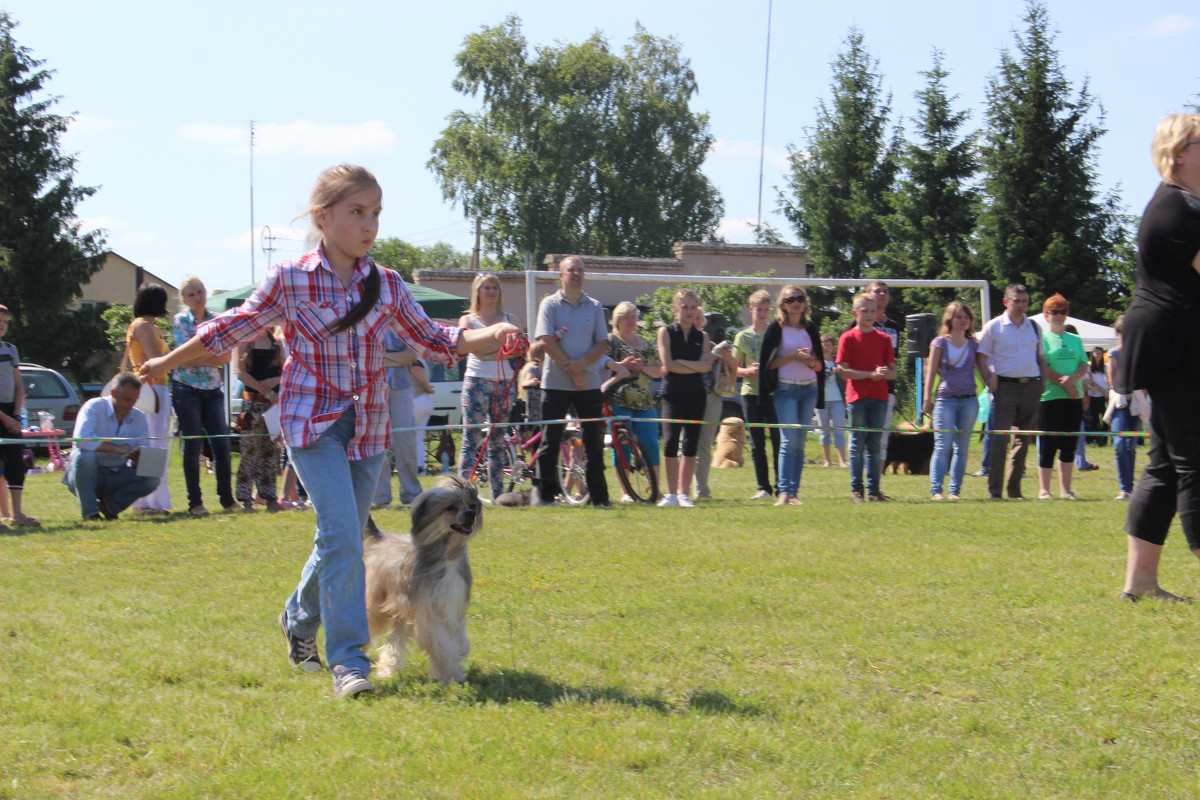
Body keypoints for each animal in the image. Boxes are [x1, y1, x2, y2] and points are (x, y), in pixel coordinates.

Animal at [360, 472, 482, 686]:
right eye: (451, 507)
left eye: (471, 505)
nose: (471, 514)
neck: (447, 557)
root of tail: (382, 541)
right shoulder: (429, 612)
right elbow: (442, 644)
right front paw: (450, 673)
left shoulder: (451, 608)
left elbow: (457, 640)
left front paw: (454, 667)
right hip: (378, 604)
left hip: (403, 612)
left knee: (394, 643)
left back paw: (386, 670)